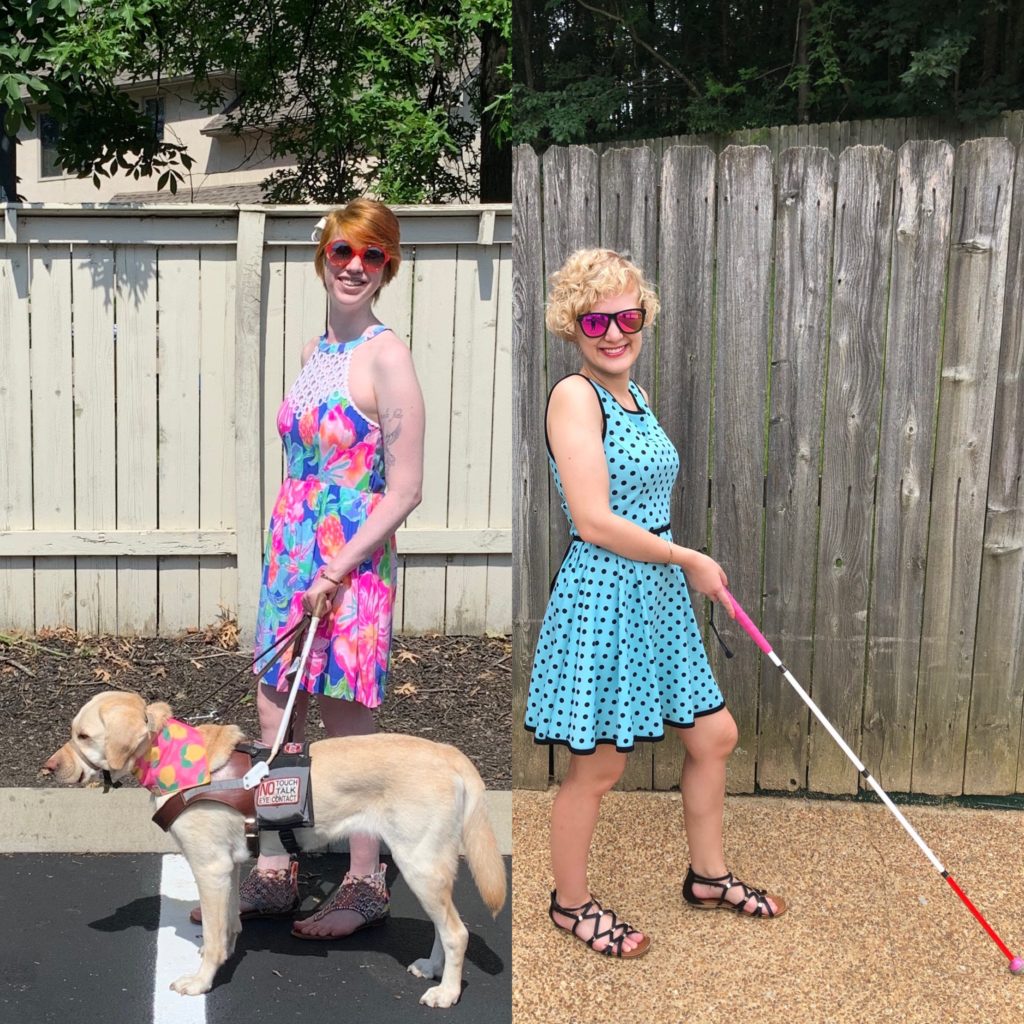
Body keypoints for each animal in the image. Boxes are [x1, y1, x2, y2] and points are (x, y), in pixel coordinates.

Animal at [41, 692, 505, 1003]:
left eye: (83, 735)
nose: (47, 768)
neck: (171, 756)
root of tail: (448, 752)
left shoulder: (209, 867)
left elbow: (213, 935)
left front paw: (201, 980)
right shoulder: (226, 868)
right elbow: (227, 924)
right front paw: (224, 954)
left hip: (418, 863)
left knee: (457, 932)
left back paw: (447, 992)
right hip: (430, 867)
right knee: (446, 928)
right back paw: (434, 969)